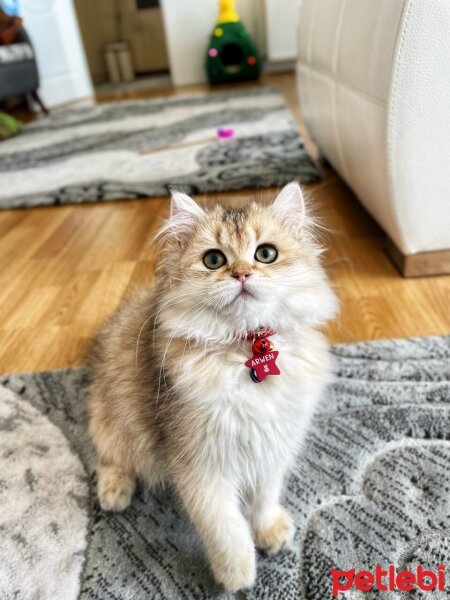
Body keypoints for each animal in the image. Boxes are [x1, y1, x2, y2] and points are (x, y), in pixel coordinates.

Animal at [87, 182, 338, 592]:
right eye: (214, 260)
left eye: (265, 254)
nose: (242, 274)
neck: (247, 351)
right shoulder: (201, 463)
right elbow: (224, 526)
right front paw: (238, 575)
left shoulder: (273, 445)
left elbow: (264, 498)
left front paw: (269, 531)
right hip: (116, 422)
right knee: (108, 457)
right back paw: (115, 492)